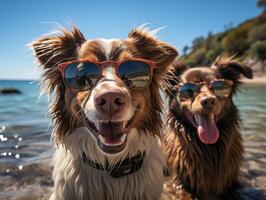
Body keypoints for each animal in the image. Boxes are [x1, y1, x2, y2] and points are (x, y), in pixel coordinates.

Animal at [163, 56, 252, 200]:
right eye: (188, 90)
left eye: (218, 87)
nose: (208, 101)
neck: (208, 148)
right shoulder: (178, 183)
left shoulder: (232, 184)